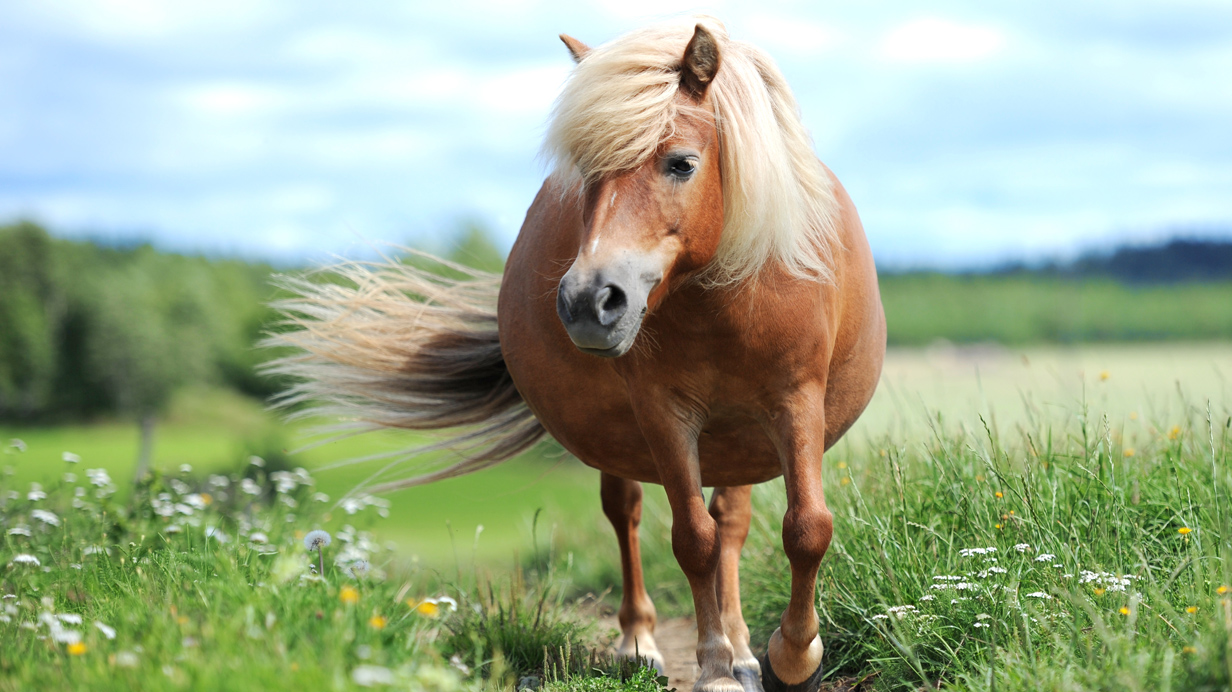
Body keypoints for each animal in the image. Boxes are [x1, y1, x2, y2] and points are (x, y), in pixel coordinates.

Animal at [268, 17, 885, 692]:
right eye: (586, 174)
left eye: (681, 163)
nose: (590, 300)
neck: (726, 299)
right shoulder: (664, 414)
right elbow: (692, 538)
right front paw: (718, 666)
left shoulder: (795, 402)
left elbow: (806, 528)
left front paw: (789, 658)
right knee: (630, 514)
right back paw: (642, 643)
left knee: (733, 522)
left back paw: (747, 648)